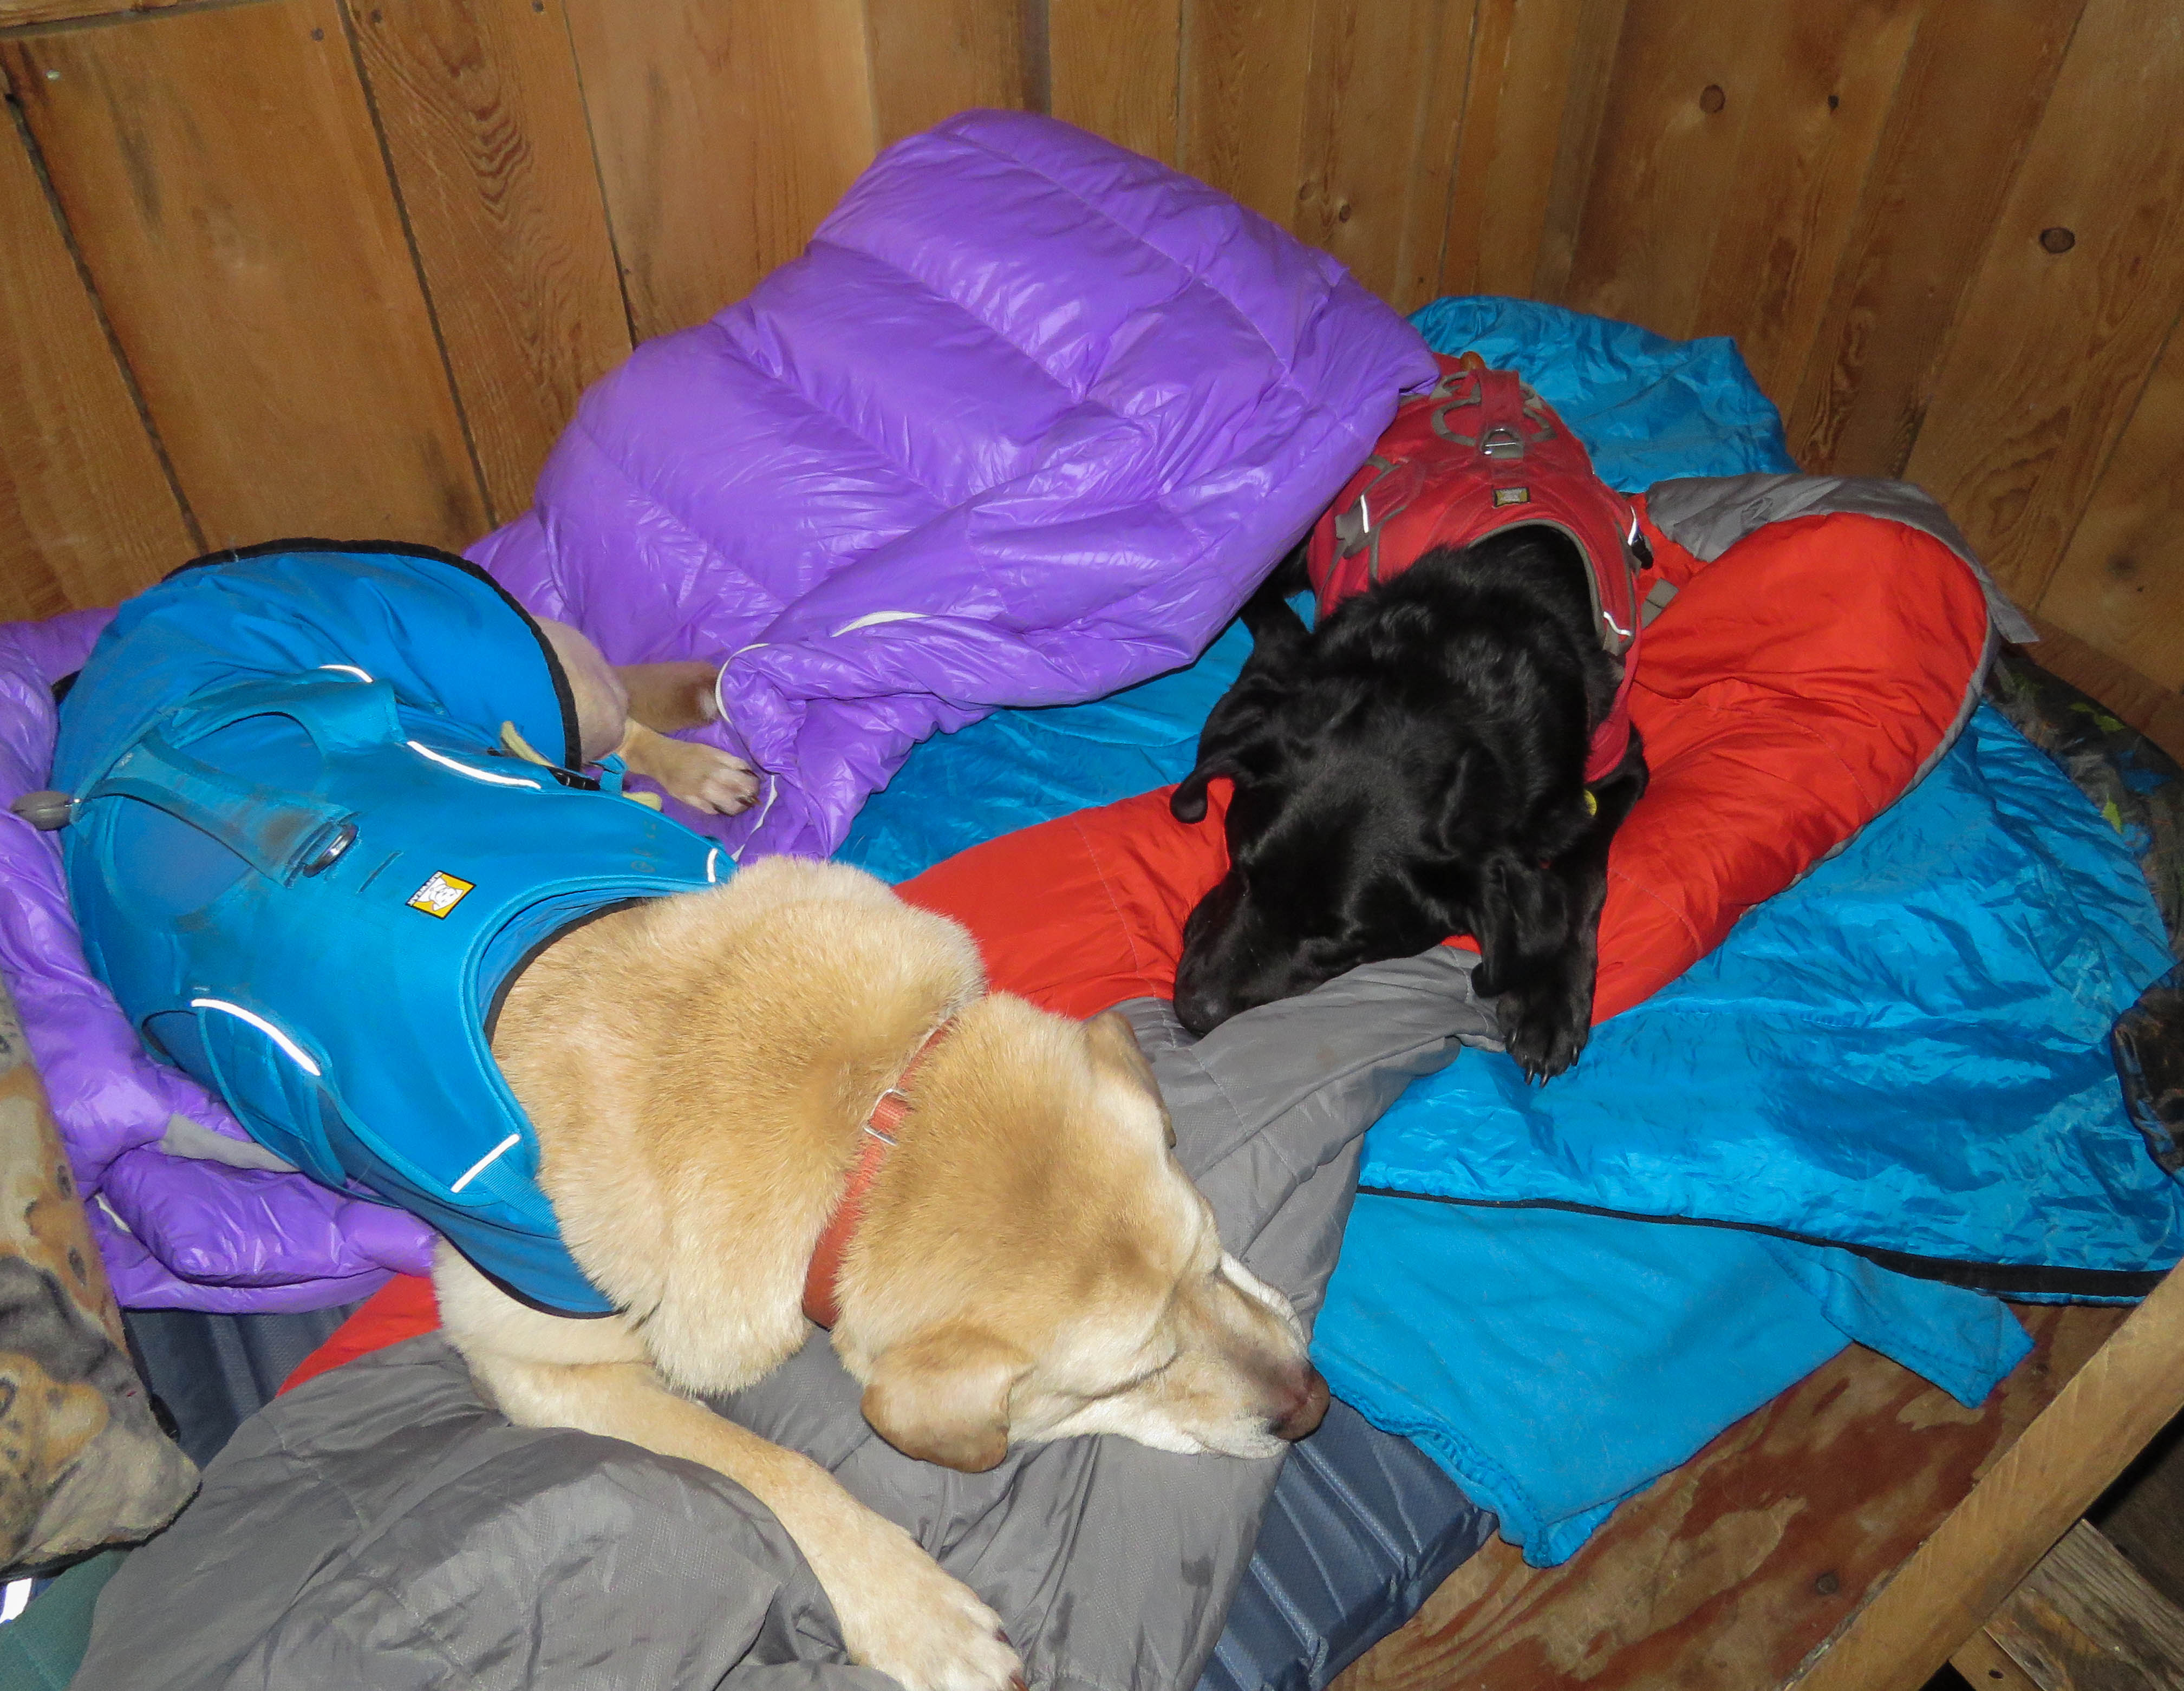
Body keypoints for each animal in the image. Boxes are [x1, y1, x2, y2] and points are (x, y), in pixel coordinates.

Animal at [437, 851, 1329, 1691]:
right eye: (1129, 1377)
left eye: (1211, 1259)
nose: (1316, 1408)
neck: (874, 1124)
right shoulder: (530, 1362)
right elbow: (764, 1462)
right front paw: (914, 1610)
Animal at [1169, 527, 1647, 1080]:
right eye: (1242, 871)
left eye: (1336, 941)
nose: (1193, 1012)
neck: (1447, 689)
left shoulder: (1621, 764)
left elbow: (1582, 874)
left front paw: (1549, 1001)